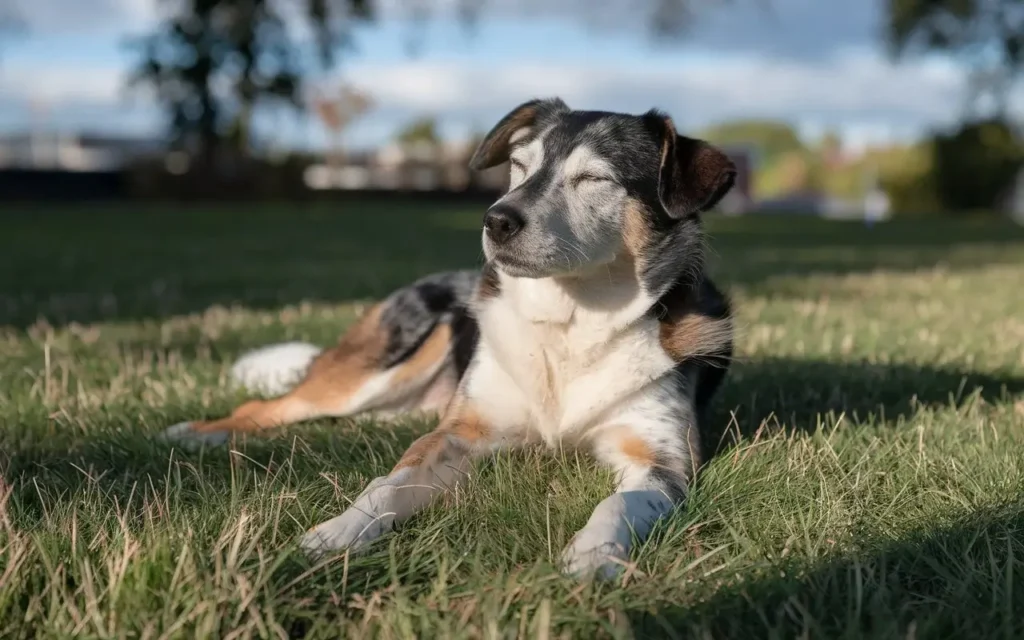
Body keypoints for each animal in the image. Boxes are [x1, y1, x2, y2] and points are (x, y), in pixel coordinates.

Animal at [159, 96, 737, 577]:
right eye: (520, 167)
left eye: (595, 178)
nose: (496, 220)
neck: (570, 323)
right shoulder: (458, 432)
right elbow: (386, 485)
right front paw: (337, 533)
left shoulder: (661, 461)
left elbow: (619, 501)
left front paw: (594, 557)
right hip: (380, 372)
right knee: (270, 406)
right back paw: (197, 432)